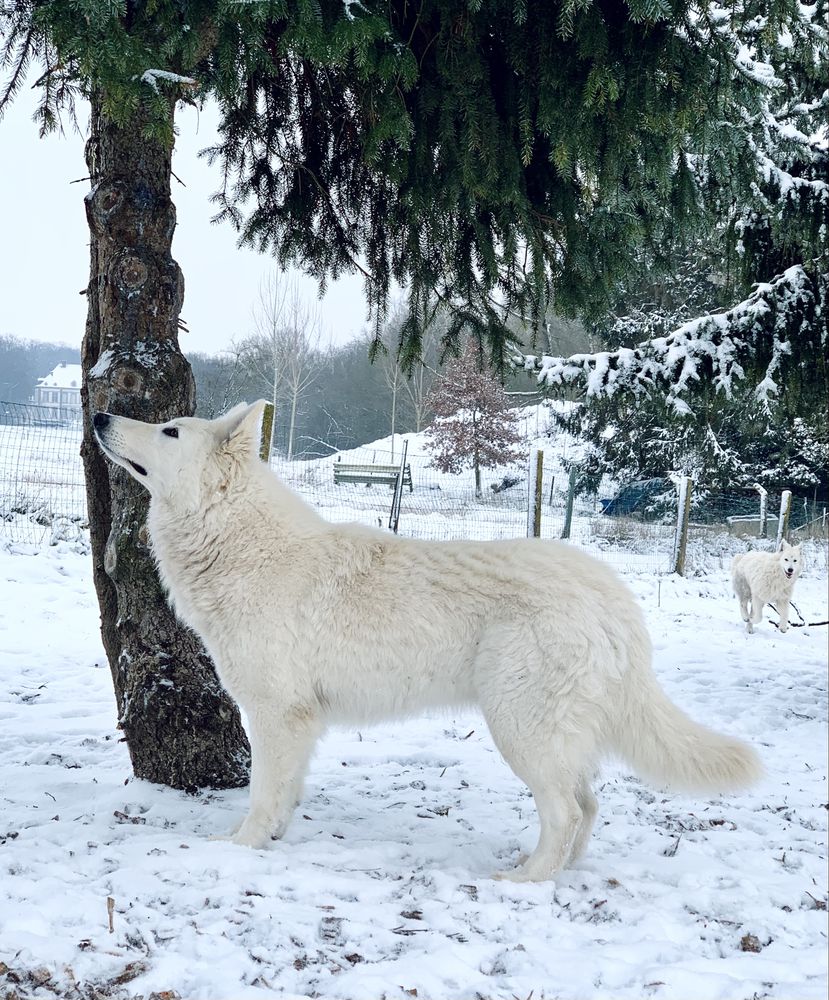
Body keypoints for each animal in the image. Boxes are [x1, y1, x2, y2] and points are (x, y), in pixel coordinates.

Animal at [94, 400, 760, 884]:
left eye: (170, 431)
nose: (99, 415)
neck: (238, 541)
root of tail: (612, 596)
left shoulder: (277, 715)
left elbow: (262, 795)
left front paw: (242, 846)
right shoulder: (300, 722)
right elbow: (287, 794)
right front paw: (277, 838)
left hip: (519, 728)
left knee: (567, 811)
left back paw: (526, 881)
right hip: (550, 734)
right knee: (588, 808)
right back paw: (558, 870)